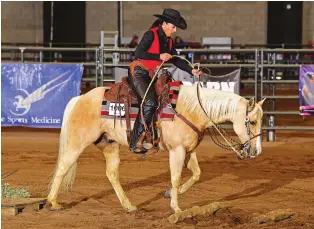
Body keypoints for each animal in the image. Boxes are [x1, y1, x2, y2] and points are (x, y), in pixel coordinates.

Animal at [46, 83, 264, 214]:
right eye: (252, 122)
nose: (256, 152)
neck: (191, 110)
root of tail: (80, 99)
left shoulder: (189, 150)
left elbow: (196, 174)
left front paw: (169, 194)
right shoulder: (177, 150)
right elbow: (176, 177)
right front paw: (176, 208)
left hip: (109, 144)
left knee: (112, 174)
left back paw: (129, 206)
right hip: (78, 143)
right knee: (63, 167)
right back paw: (53, 202)